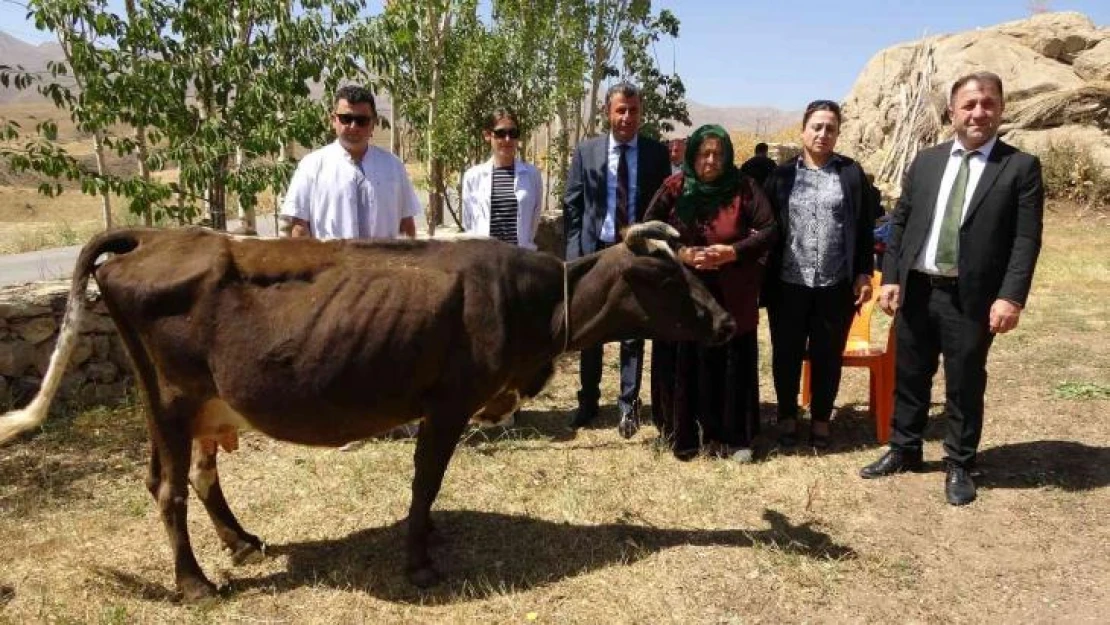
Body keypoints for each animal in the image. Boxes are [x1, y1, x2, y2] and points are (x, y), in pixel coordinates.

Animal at [2, 220, 737, 599]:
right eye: (667, 275)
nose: (728, 322)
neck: (531, 306)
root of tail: (155, 236)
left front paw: (429, 537)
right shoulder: (449, 403)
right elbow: (425, 481)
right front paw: (419, 561)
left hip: (202, 402)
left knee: (200, 476)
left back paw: (241, 540)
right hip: (172, 398)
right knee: (167, 487)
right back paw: (196, 583)